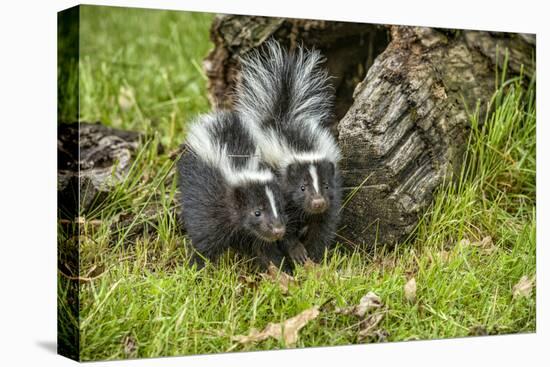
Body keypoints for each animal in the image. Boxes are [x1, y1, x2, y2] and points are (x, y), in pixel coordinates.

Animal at [178, 109, 292, 270]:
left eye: (281, 208)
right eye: (257, 212)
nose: (278, 230)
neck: (241, 168)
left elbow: (264, 248)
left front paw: (279, 269)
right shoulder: (210, 206)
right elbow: (205, 241)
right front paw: (196, 267)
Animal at [236, 39, 342, 264]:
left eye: (326, 185)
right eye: (302, 187)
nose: (318, 202)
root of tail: (282, 117)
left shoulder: (333, 196)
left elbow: (324, 225)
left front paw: (315, 255)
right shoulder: (281, 194)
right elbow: (285, 229)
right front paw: (298, 253)